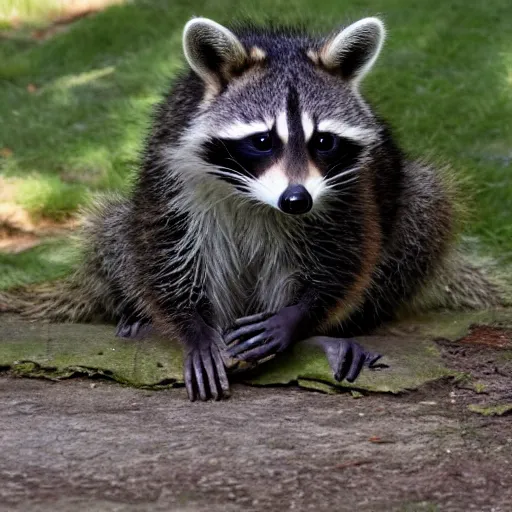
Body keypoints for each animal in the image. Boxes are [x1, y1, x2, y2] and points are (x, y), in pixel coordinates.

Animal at [12, 15, 500, 400]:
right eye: (263, 140)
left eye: (324, 141)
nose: (296, 200)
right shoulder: (170, 160)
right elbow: (164, 244)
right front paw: (191, 327)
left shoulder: (348, 183)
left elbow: (347, 254)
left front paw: (297, 318)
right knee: (113, 227)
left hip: (408, 204)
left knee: (425, 206)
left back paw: (321, 338)